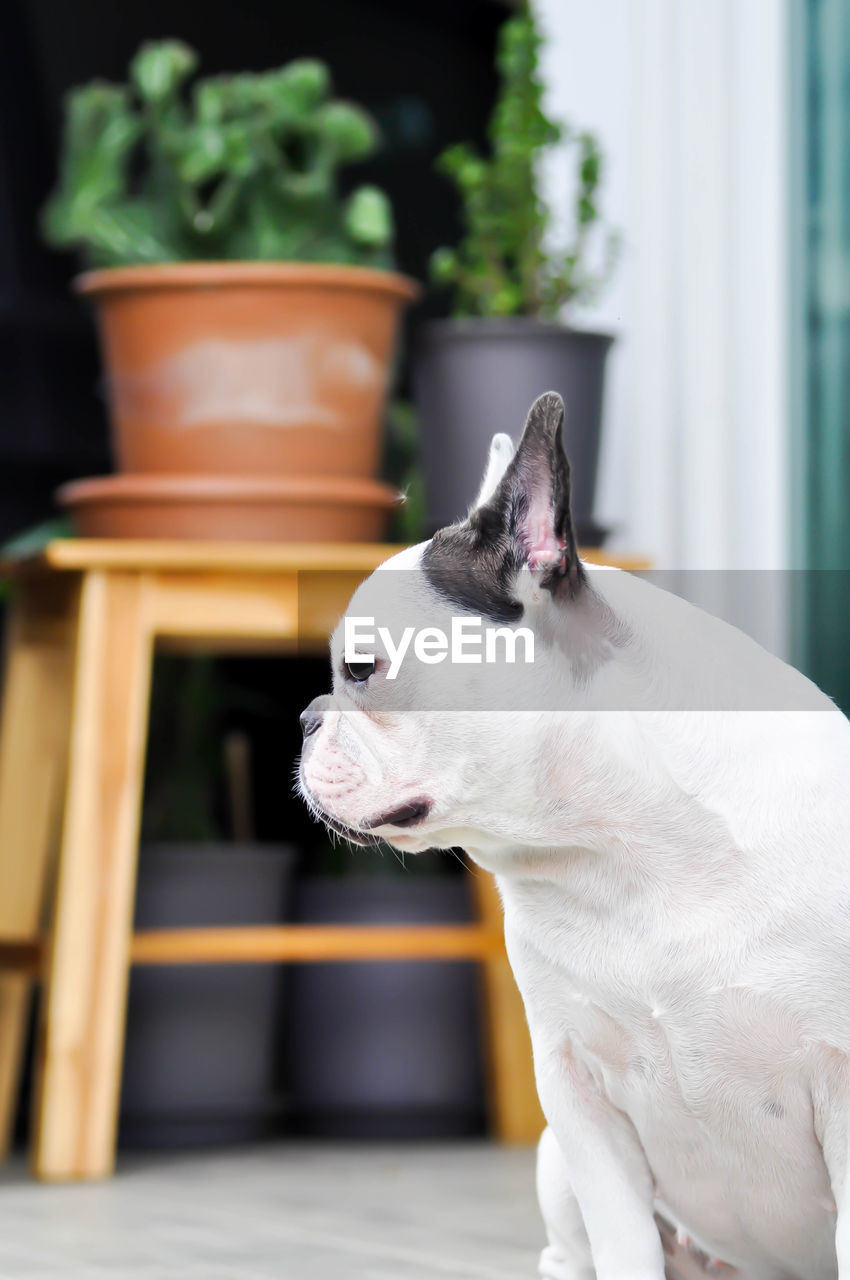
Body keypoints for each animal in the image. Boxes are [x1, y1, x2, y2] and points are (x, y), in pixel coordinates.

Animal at [296, 391, 850, 1280]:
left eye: (358, 671)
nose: (308, 718)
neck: (626, 853)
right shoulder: (577, 1095)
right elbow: (622, 1241)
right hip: (556, 1163)